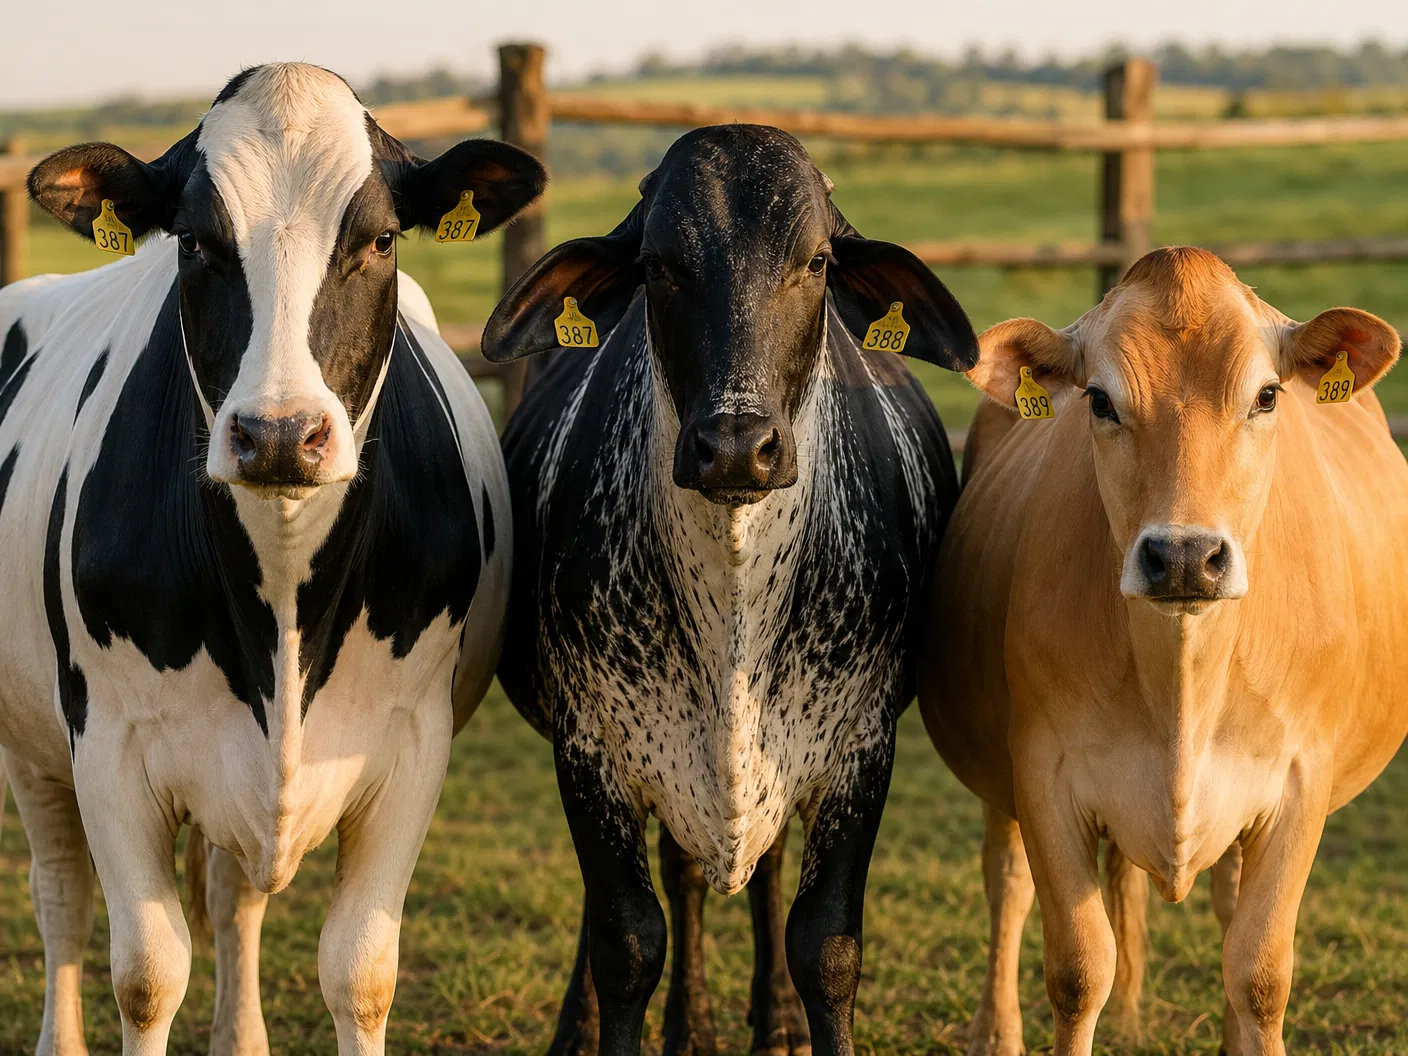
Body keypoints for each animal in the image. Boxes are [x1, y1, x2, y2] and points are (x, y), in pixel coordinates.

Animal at [1, 63, 544, 1055]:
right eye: (195, 241)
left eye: (379, 238)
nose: (281, 434)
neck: (284, 606)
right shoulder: (107, 746)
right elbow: (147, 976)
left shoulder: (414, 745)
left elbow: (360, 973)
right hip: (29, 738)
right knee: (60, 896)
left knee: (233, 895)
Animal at [480, 124, 979, 1056]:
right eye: (658, 265)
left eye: (816, 261)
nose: (737, 447)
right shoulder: (588, 746)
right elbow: (627, 942)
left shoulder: (862, 747)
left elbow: (826, 947)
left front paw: (793, 1007)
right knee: (661, 886)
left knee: (757, 867)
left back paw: (769, 1017)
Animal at [919, 246, 1408, 1056]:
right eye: (1099, 401)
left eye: (1267, 396)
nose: (1184, 557)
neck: (1181, 684)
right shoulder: (1043, 774)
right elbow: (1080, 970)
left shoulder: (1300, 782)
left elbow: (1258, 971)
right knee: (1007, 882)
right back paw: (995, 1031)